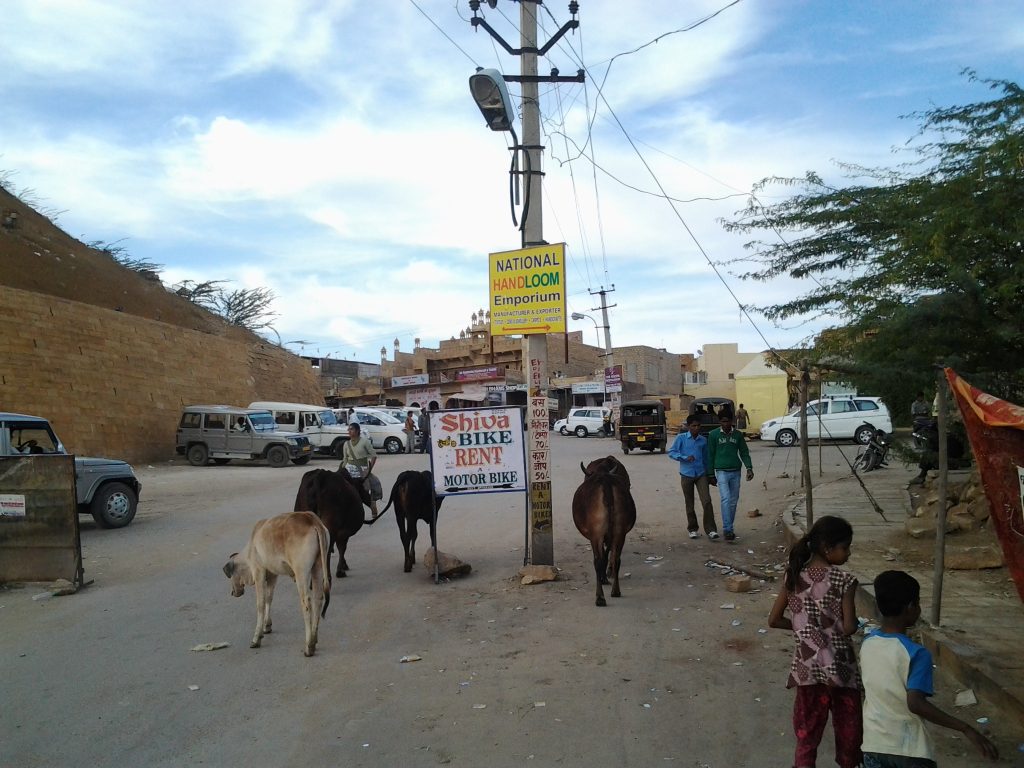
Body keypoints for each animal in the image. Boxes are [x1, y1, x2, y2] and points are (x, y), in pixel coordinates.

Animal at [223, 514, 331, 659]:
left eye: (230, 576)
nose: (232, 592)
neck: (252, 547)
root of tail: (312, 519)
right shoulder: (273, 575)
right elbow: (269, 599)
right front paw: (267, 626)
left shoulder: (259, 572)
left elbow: (261, 604)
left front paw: (256, 638)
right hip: (317, 568)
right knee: (318, 599)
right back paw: (314, 638)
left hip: (301, 572)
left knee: (306, 603)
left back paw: (309, 646)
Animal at [573, 456, 634, 606]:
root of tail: (605, 482)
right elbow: (609, 554)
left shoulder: (595, 536)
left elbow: (601, 557)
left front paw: (603, 578)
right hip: (619, 532)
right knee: (616, 558)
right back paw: (615, 590)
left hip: (596, 534)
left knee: (598, 561)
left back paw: (600, 597)